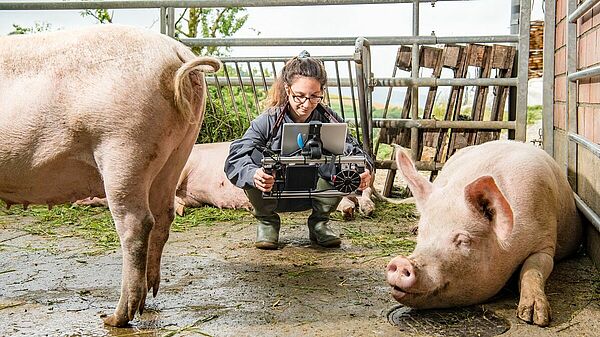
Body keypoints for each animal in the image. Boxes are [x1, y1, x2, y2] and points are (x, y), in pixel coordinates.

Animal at [0, 25, 220, 326]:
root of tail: (178, 52)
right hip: (178, 151)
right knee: (163, 217)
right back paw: (149, 299)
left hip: (124, 148)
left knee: (137, 223)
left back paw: (114, 318)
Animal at [386, 139, 584, 326]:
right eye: (423, 232)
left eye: (463, 240)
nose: (402, 262)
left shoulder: (546, 241)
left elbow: (532, 269)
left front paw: (535, 317)